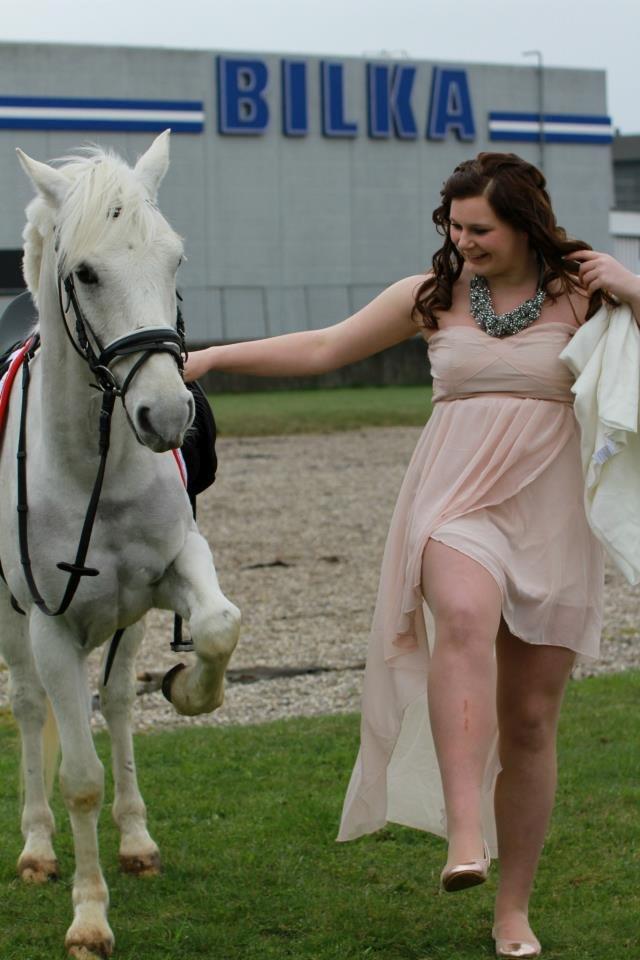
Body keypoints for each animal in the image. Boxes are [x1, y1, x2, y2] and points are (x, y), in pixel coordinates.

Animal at [0, 131, 241, 959]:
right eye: (86, 272)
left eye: (174, 259)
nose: (167, 415)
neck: (91, 462)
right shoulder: (51, 625)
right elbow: (78, 777)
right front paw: (88, 916)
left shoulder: (173, 570)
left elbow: (217, 627)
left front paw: (191, 690)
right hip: (15, 624)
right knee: (30, 707)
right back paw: (37, 848)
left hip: (127, 621)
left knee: (118, 704)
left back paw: (135, 840)